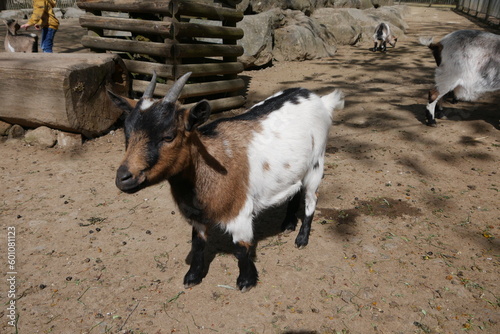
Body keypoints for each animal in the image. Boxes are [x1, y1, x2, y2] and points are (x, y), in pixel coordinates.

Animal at [108, 72, 344, 290]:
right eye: (127, 134)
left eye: (168, 136)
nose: (124, 178)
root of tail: (320, 99)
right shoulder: (197, 215)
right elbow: (197, 243)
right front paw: (192, 276)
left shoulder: (239, 212)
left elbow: (241, 248)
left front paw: (246, 281)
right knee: (295, 189)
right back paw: (287, 224)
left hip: (316, 163)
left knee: (311, 198)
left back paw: (302, 239)